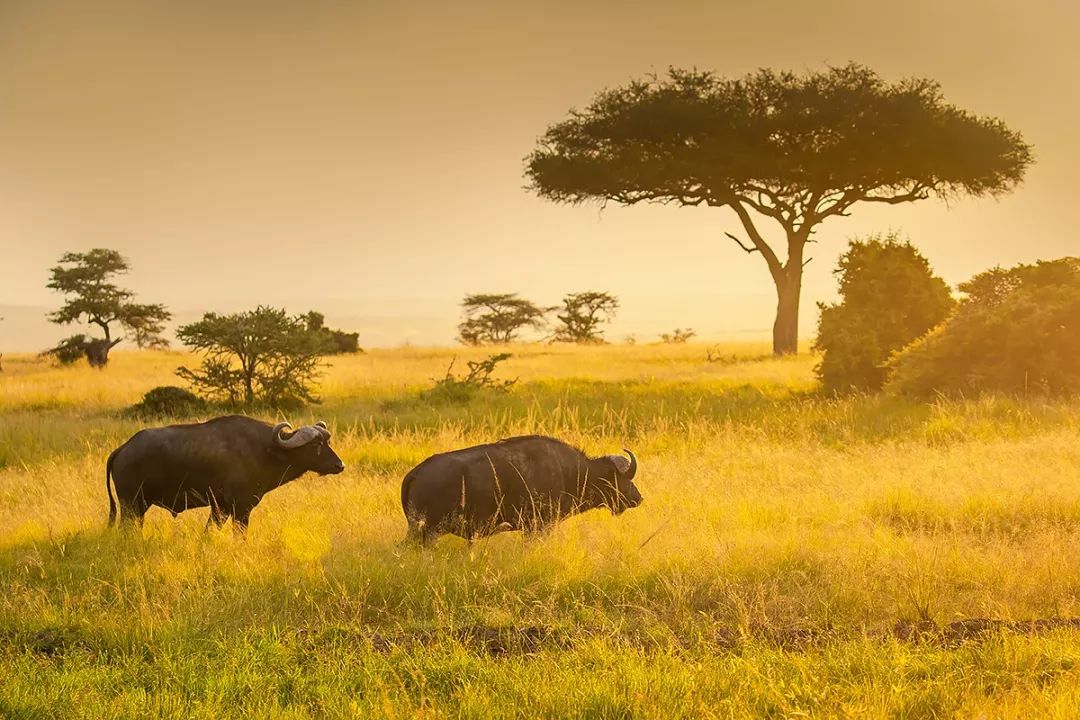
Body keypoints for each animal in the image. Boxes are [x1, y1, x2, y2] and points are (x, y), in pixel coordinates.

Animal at [103, 414, 343, 533]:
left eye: (327, 441)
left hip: (139, 507)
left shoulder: (220, 508)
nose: (340, 465)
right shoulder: (241, 509)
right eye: (315, 445)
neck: (265, 449)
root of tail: (123, 449)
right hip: (131, 505)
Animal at [403, 433, 639, 546]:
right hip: (428, 531)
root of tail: (416, 472)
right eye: (622, 479)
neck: (571, 472)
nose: (638, 498)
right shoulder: (538, 527)